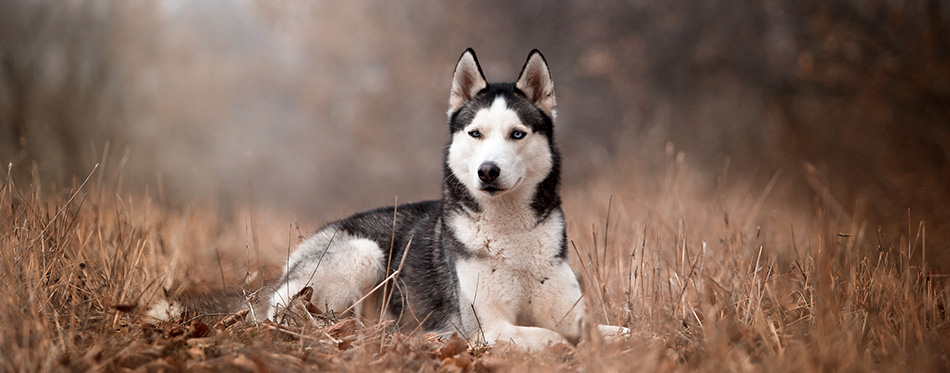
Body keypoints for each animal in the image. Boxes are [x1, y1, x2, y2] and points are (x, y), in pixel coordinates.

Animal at [266, 48, 624, 348]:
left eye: (517, 134)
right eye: (476, 133)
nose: (487, 171)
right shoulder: (488, 327)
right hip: (364, 254)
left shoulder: (569, 312)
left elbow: (621, 331)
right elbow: (555, 338)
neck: (510, 234)